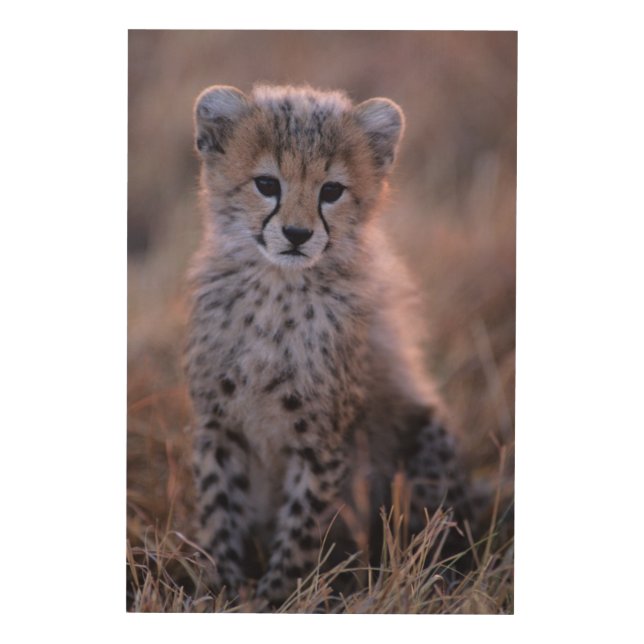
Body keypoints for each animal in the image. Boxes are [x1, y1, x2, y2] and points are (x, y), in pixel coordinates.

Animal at [185, 83, 474, 606]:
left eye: (331, 191)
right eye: (267, 184)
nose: (297, 234)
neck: (277, 290)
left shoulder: (321, 443)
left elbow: (300, 530)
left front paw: (275, 600)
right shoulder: (217, 426)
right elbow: (220, 514)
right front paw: (220, 593)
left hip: (426, 432)